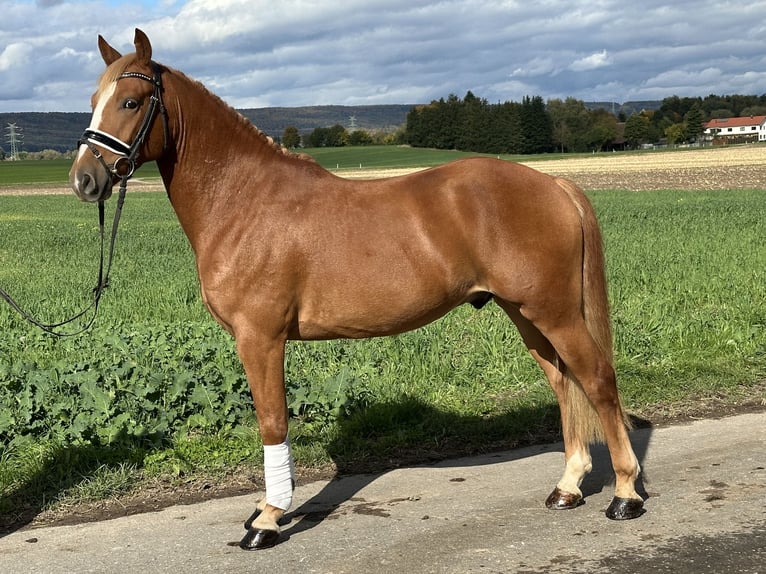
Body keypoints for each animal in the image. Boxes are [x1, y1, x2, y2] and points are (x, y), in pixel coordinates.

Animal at [69, 29, 644, 552]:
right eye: (93, 101)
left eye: (131, 101)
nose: (84, 180)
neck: (244, 202)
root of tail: (554, 184)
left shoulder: (260, 338)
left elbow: (272, 421)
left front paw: (268, 518)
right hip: (526, 313)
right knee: (564, 383)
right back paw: (569, 487)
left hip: (554, 311)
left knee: (596, 379)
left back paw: (625, 494)